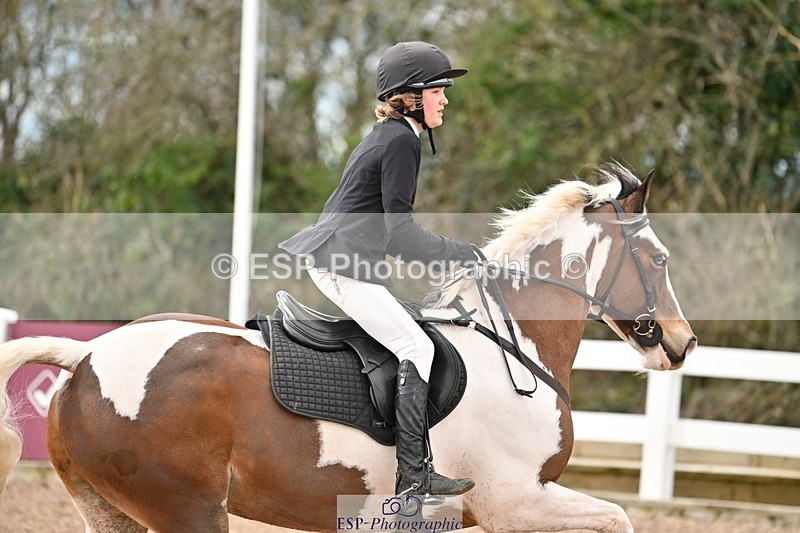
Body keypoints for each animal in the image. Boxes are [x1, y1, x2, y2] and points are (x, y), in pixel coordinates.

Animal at [0, 163, 696, 532]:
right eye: (659, 259)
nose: (682, 344)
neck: (513, 346)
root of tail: (86, 358)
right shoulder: (514, 500)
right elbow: (621, 518)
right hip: (186, 511)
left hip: (109, 511)